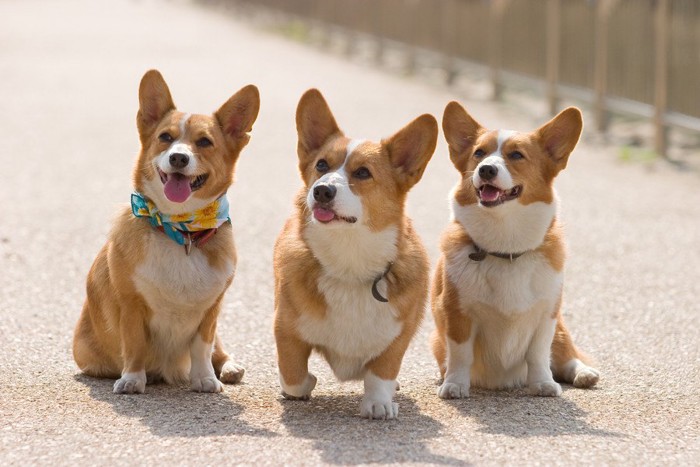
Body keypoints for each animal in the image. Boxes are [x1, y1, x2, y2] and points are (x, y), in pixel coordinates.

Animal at [73, 69, 260, 394]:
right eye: (166, 138)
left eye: (204, 142)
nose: (178, 158)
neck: (180, 229)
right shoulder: (131, 305)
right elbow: (134, 343)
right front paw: (132, 380)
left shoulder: (211, 312)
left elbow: (203, 347)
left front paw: (204, 379)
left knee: (218, 349)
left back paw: (229, 367)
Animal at [274, 88, 438, 420]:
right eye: (321, 165)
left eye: (363, 173)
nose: (322, 190)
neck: (349, 259)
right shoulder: (285, 329)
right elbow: (293, 375)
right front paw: (305, 384)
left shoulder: (398, 337)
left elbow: (381, 372)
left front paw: (378, 403)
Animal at [432, 101, 600, 398]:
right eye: (479, 153)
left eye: (517, 155)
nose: (486, 169)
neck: (506, 245)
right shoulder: (456, 313)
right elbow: (461, 354)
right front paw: (454, 384)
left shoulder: (547, 314)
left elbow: (538, 353)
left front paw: (543, 383)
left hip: (561, 327)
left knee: (566, 353)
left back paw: (583, 373)